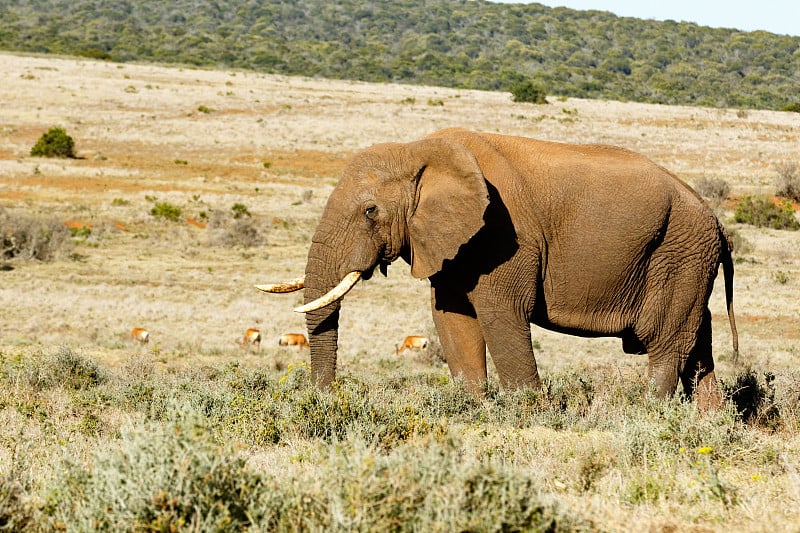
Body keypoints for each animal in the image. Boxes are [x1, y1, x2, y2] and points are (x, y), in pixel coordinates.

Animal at [260, 128, 740, 408]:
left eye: (370, 211)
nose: (326, 399)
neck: (418, 151)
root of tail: (715, 219)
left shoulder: (502, 235)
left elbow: (501, 315)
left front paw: (529, 414)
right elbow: (452, 318)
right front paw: (472, 409)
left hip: (679, 250)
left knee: (667, 341)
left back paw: (647, 415)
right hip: (688, 258)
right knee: (697, 339)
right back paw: (709, 424)